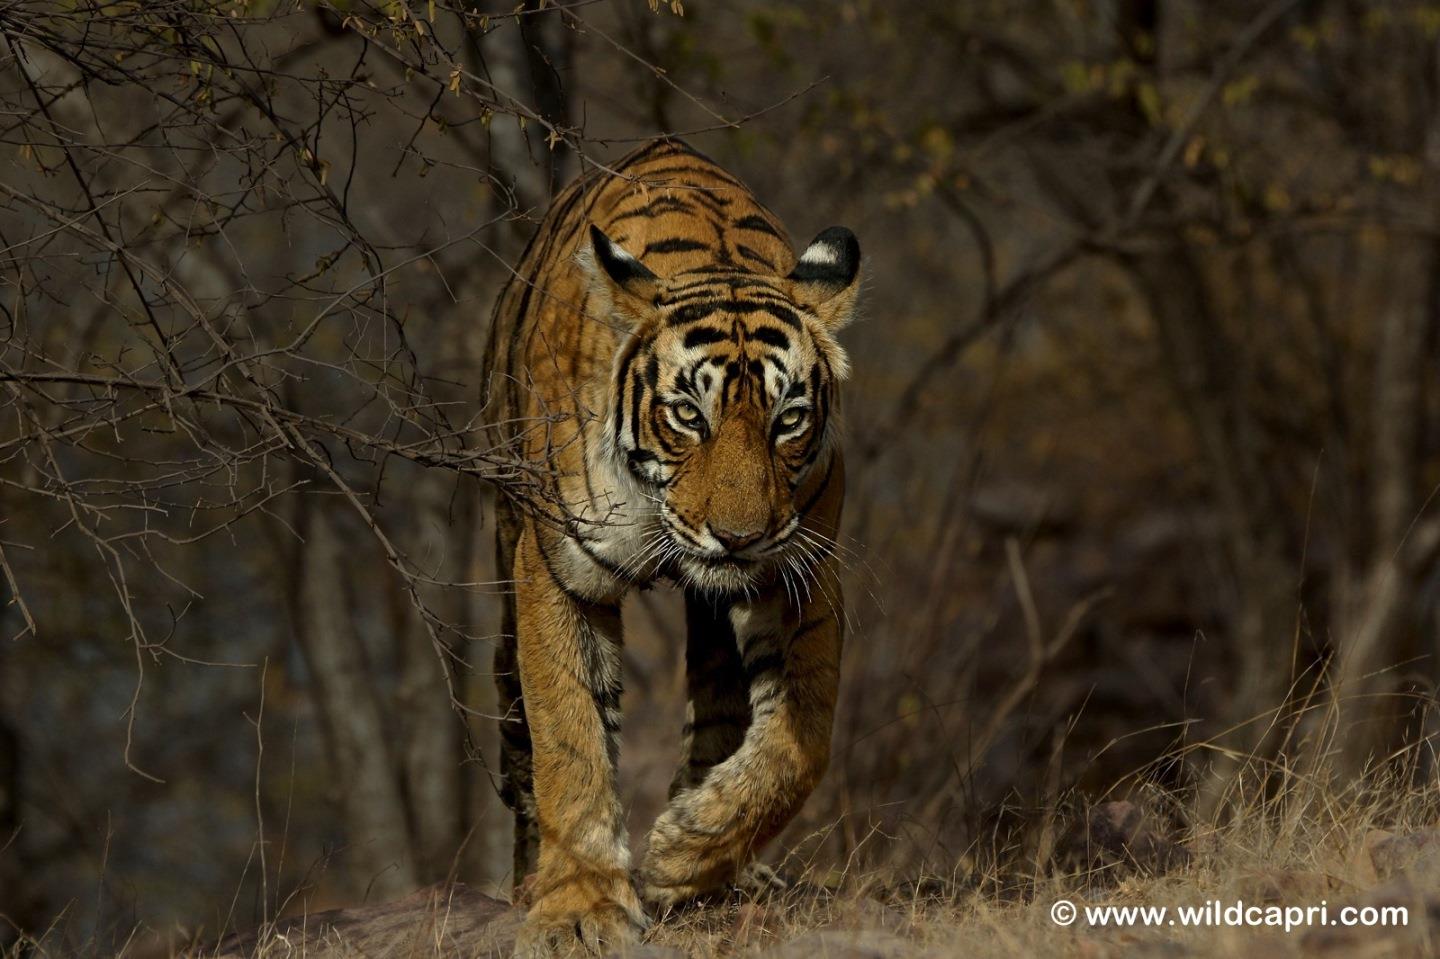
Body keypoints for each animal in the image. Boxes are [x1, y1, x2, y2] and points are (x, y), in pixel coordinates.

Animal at [478, 136, 858, 956]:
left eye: (788, 418)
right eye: (688, 413)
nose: (739, 536)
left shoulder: (802, 570)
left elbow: (803, 740)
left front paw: (685, 851)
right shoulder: (560, 570)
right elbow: (570, 736)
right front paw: (578, 908)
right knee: (518, 726)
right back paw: (526, 879)